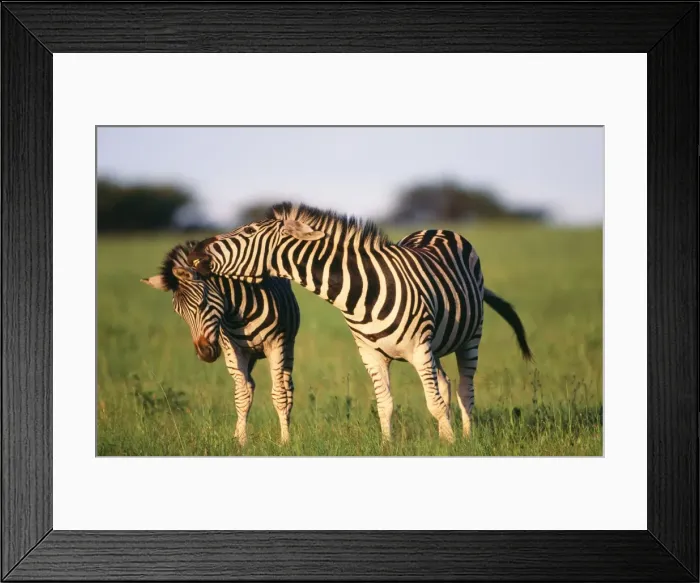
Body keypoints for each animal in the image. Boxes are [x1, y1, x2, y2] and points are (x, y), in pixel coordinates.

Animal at [140, 240, 300, 446]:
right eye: (179, 313)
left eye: (202, 303)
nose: (204, 354)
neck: (238, 312)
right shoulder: (234, 349)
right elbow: (241, 397)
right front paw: (241, 442)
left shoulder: (275, 345)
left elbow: (279, 395)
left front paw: (285, 441)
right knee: (247, 387)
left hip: (287, 347)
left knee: (287, 387)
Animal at [186, 203, 532, 443]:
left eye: (247, 232)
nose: (196, 250)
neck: (362, 291)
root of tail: (439, 228)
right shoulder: (372, 355)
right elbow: (385, 404)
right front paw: (389, 447)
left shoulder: (419, 350)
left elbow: (433, 403)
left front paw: (448, 445)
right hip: (436, 347)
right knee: (446, 385)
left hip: (470, 337)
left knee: (464, 390)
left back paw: (467, 438)